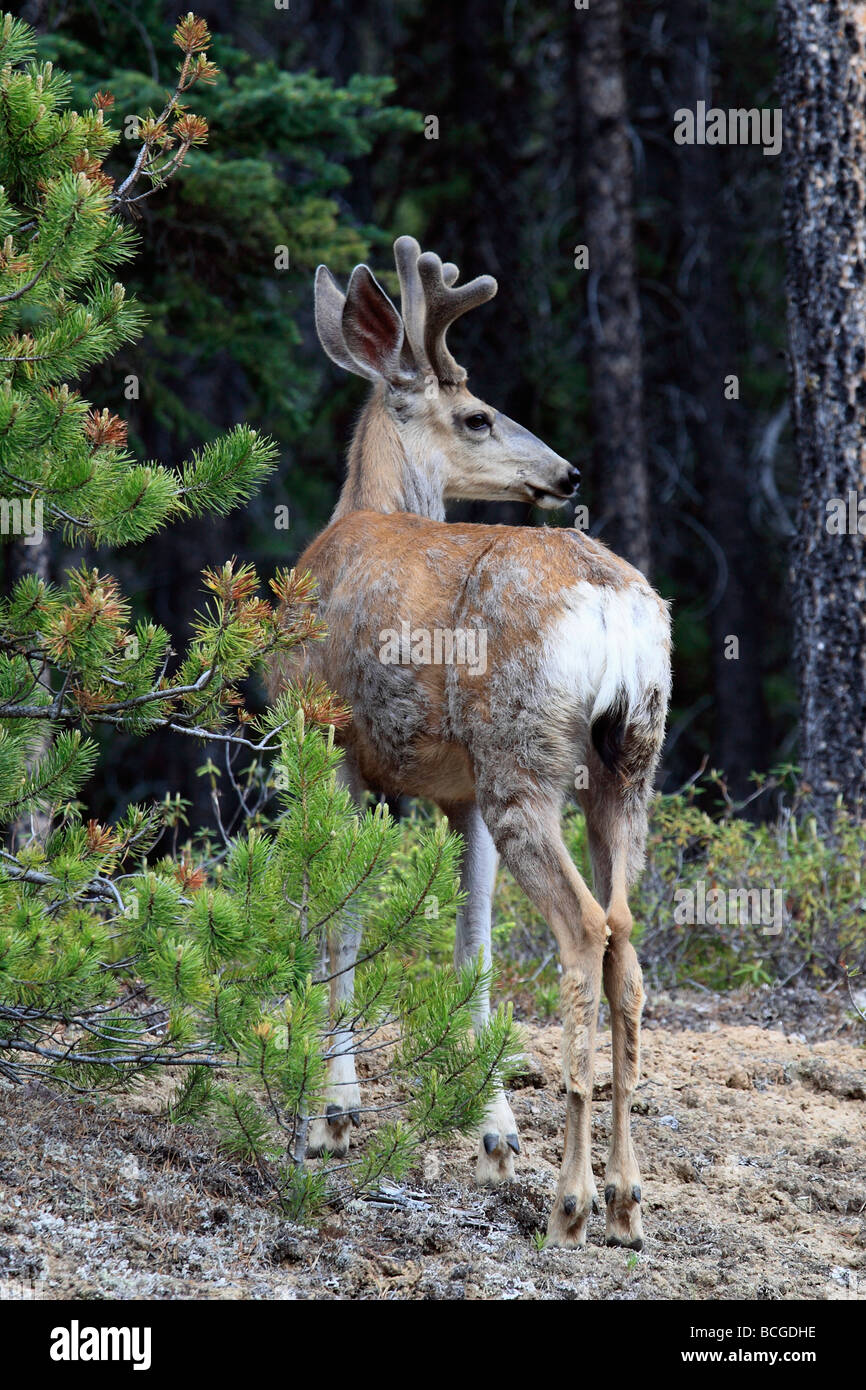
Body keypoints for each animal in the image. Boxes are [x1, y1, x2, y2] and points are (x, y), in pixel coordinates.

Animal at [271, 239, 670, 1251]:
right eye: (479, 415)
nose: (568, 474)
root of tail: (614, 610)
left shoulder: (326, 741)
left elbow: (337, 915)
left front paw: (331, 1113)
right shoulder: (454, 790)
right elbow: (472, 942)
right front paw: (493, 1133)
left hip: (522, 760)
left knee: (587, 929)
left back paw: (572, 1201)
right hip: (624, 765)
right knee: (628, 942)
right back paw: (626, 1199)